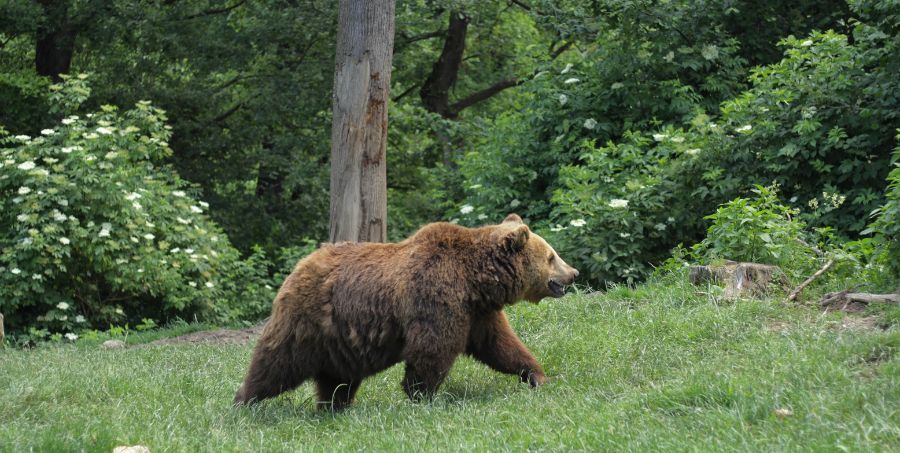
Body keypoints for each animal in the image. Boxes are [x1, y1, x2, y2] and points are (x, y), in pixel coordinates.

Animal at [233, 213, 578, 409]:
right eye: (551, 256)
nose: (573, 273)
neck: (475, 280)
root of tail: (300, 266)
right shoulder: (435, 296)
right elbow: (433, 348)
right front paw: (421, 395)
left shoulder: (478, 313)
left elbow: (500, 345)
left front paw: (537, 375)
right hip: (307, 322)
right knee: (276, 363)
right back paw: (245, 402)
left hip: (339, 341)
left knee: (337, 379)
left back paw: (335, 407)